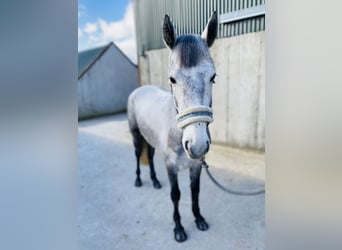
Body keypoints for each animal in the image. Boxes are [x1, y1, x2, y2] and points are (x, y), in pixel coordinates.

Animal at [127, 11, 218, 242]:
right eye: (172, 79)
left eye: (213, 77)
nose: (197, 145)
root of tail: (139, 89)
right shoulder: (171, 166)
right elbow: (176, 195)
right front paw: (178, 228)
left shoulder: (196, 166)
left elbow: (195, 192)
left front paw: (199, 219)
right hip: (136, 135)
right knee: (138, 155)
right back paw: (139, 180)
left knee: (149, 156)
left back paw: (155, 181)